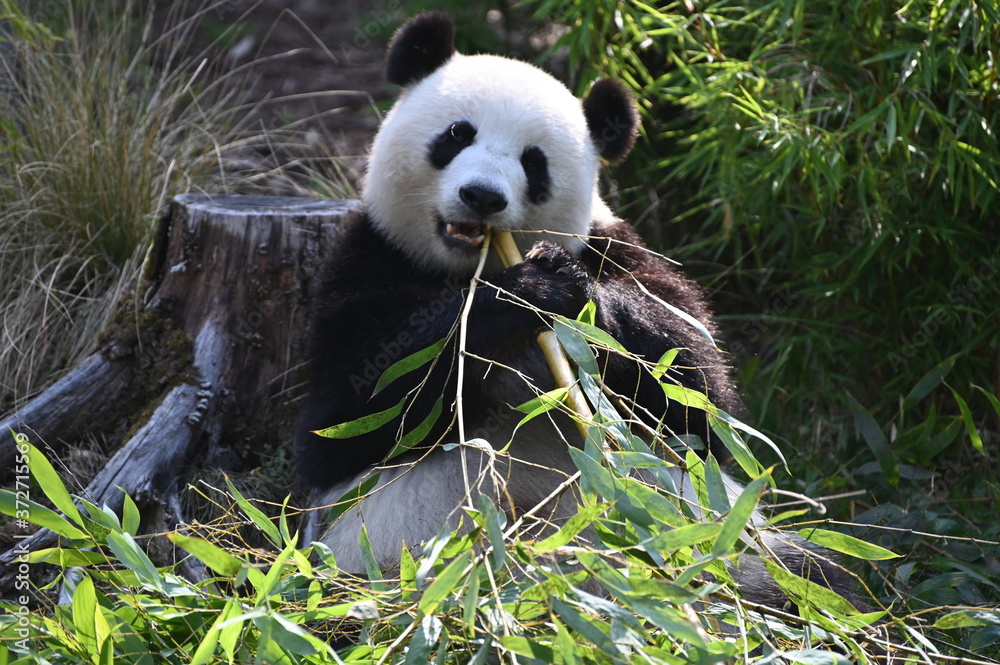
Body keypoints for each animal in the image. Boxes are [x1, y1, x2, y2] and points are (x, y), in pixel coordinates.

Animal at [296, 13, 860, 611]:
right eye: (456, 135)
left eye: (534, 162)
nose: (482, 197)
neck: (467, 268)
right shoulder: (367, 260)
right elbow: (347, 419)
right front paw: (527, 292)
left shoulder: (619, 248)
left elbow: (700, 402)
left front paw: (573, 294)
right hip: (386, 559)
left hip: (718, 543)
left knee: (810, 577)